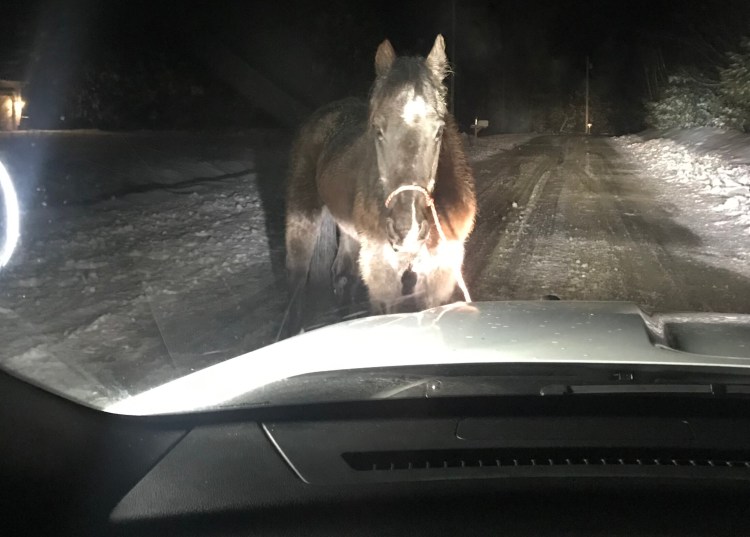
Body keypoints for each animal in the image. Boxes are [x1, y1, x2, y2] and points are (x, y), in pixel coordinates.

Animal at [282, 34, 476, 336]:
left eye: (439, 131)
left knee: (342, 275)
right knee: (296, 282)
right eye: (378, 129)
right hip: (302, 216)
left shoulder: (439, 271)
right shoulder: (382, 271)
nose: (407, 230)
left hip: (349, 234)